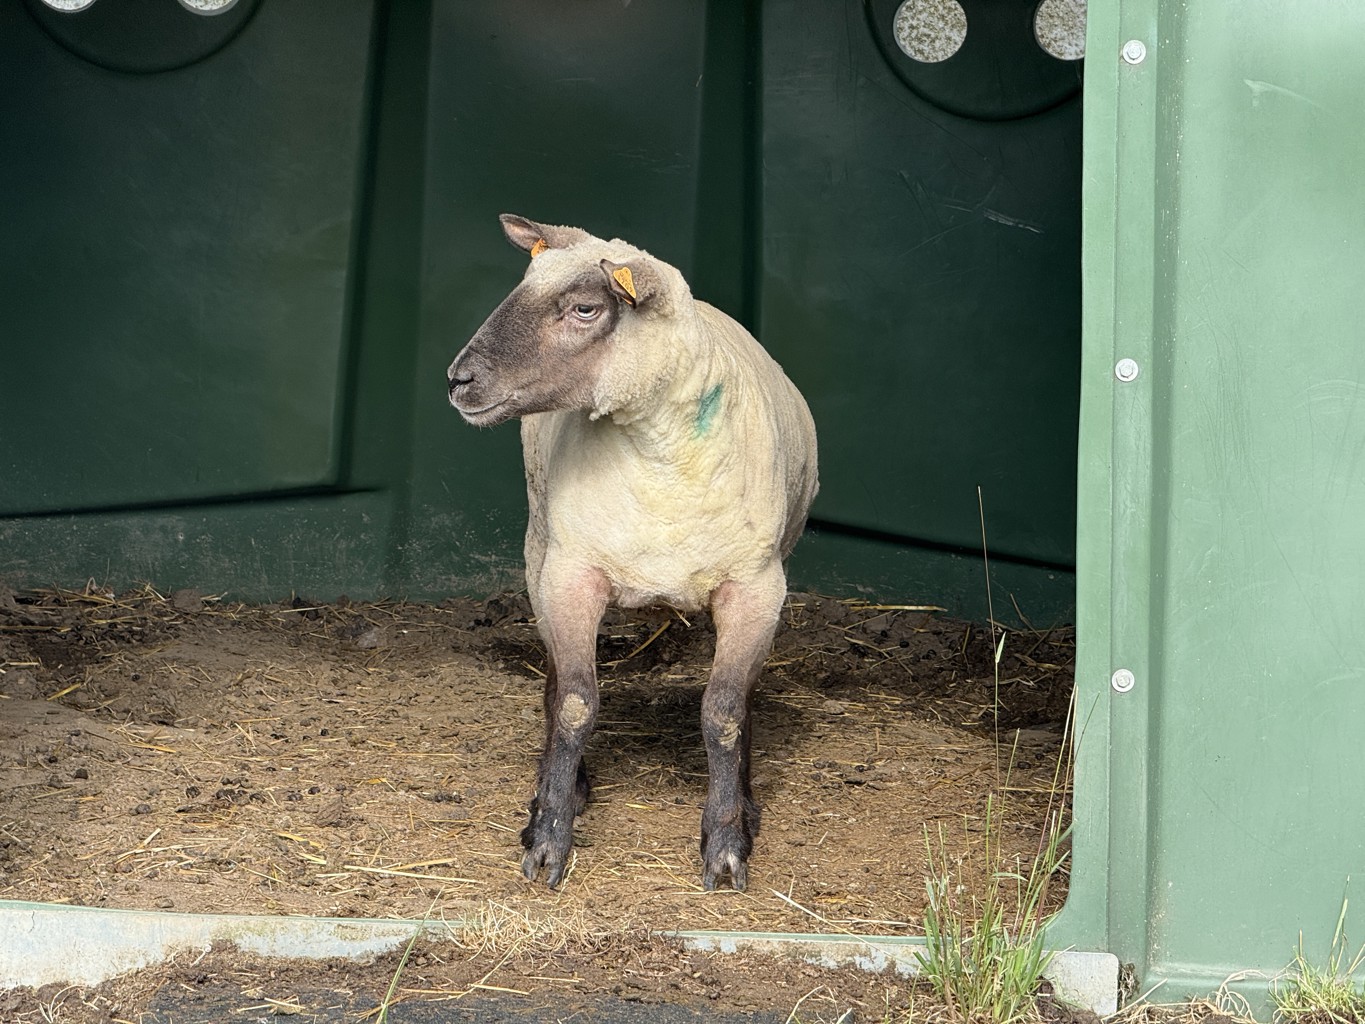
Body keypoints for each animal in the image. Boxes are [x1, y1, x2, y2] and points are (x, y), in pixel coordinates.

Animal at [446, 214, 819, 891]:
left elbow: (726, 712)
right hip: (540, 554)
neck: (657, 450)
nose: (458, 380)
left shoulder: (756, 591)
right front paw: (549, 839)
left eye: (585, 309)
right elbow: (573, 703)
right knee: (555, 680)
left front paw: (728, 842)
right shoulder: (570, 577)